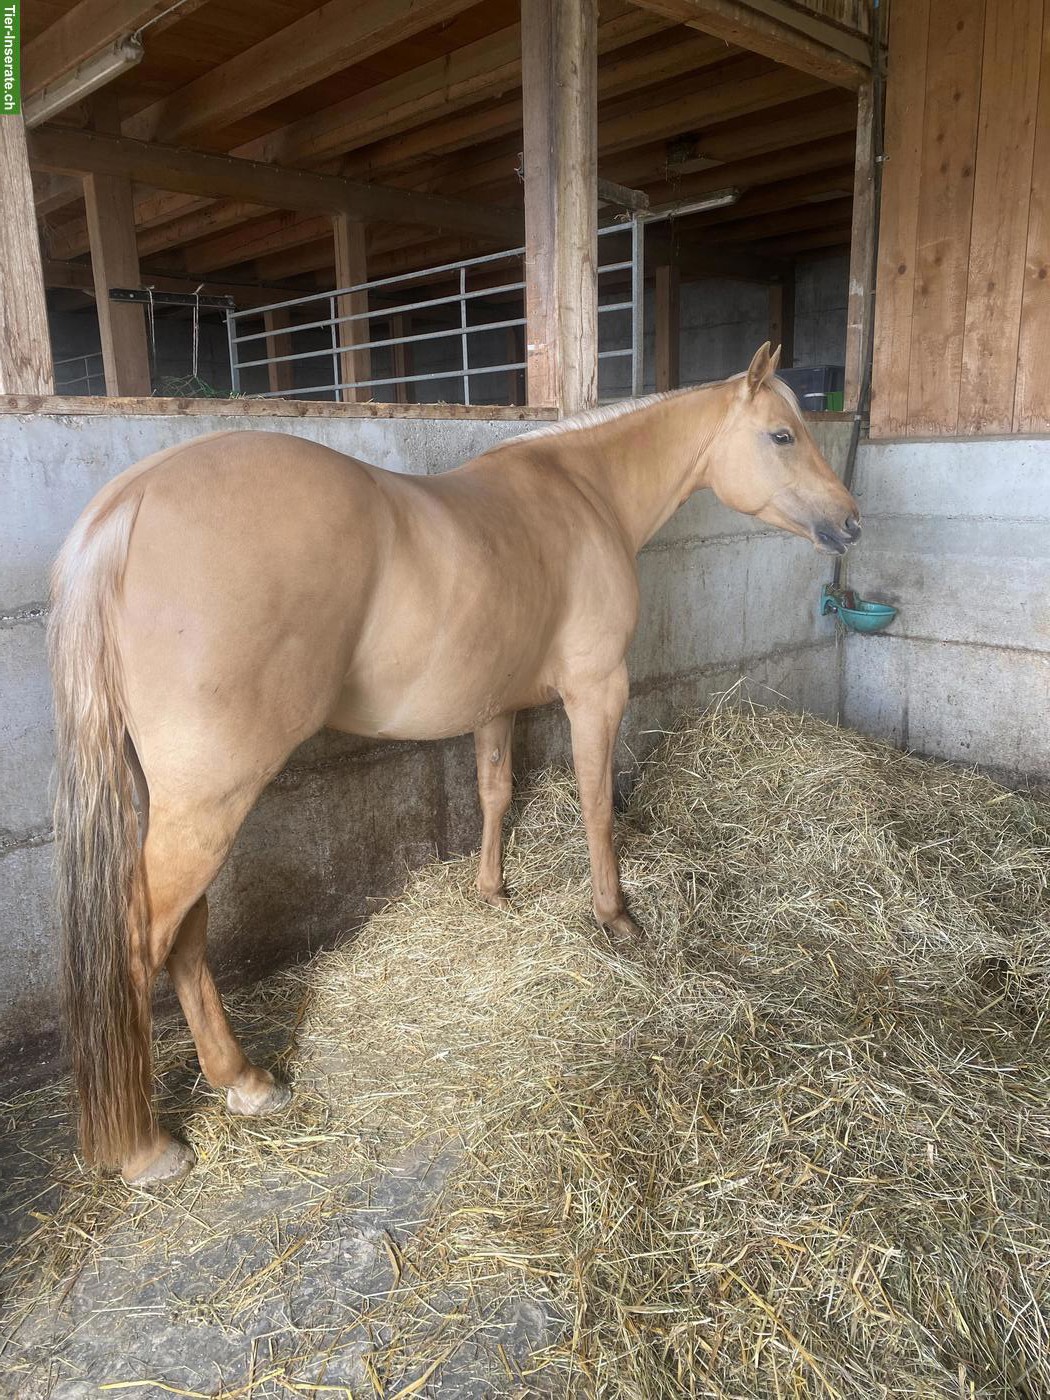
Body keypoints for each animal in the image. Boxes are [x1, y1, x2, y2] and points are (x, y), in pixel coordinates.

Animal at [49, 343, 860, 1184]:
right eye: (781, 436)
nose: (851, 522)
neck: (583, 491)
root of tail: (129, 505)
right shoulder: (598, 691)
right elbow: (596, 803)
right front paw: (616, 916)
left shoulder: (495, 704)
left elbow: (495, 791)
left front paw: (493, 893)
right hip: (213, 798)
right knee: (142, 940)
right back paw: (147, 1147)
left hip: (181, 802)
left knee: (186, 932)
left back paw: (243, 1081)